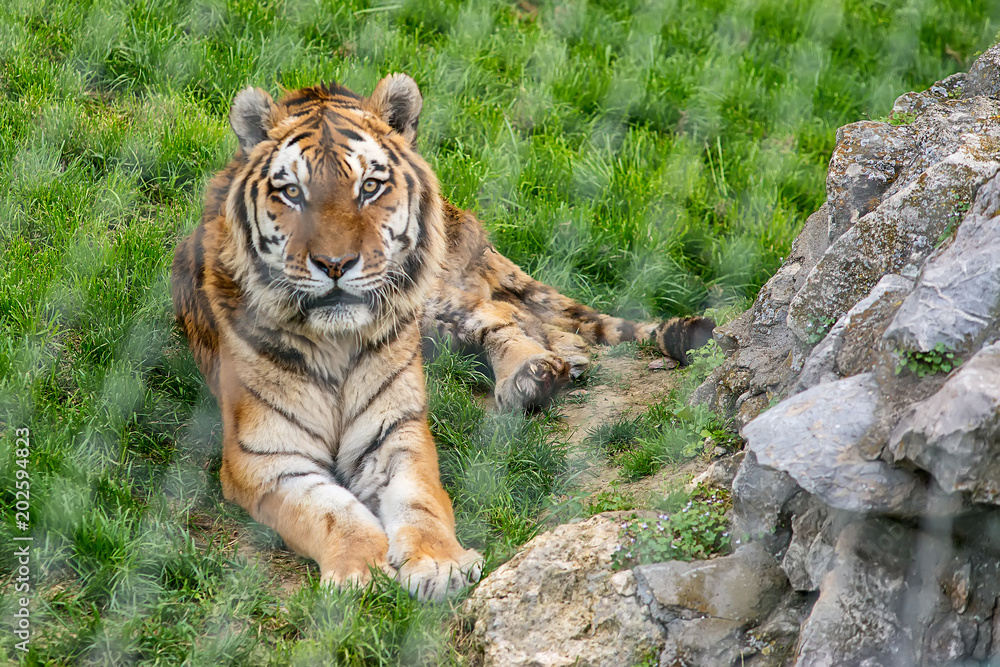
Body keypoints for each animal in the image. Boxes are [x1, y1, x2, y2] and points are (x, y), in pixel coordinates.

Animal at [170, 73, 715, 600]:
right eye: (292, 193)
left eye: (370, 187)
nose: (335, 264)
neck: (335, 343)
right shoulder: (265, 458)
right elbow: (331, 511)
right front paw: (359, 571)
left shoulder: (398, 432)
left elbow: (420, 499)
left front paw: (439, 563)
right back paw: (567, 358)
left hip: (434, 294)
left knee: (499, 312)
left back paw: (533, 373)